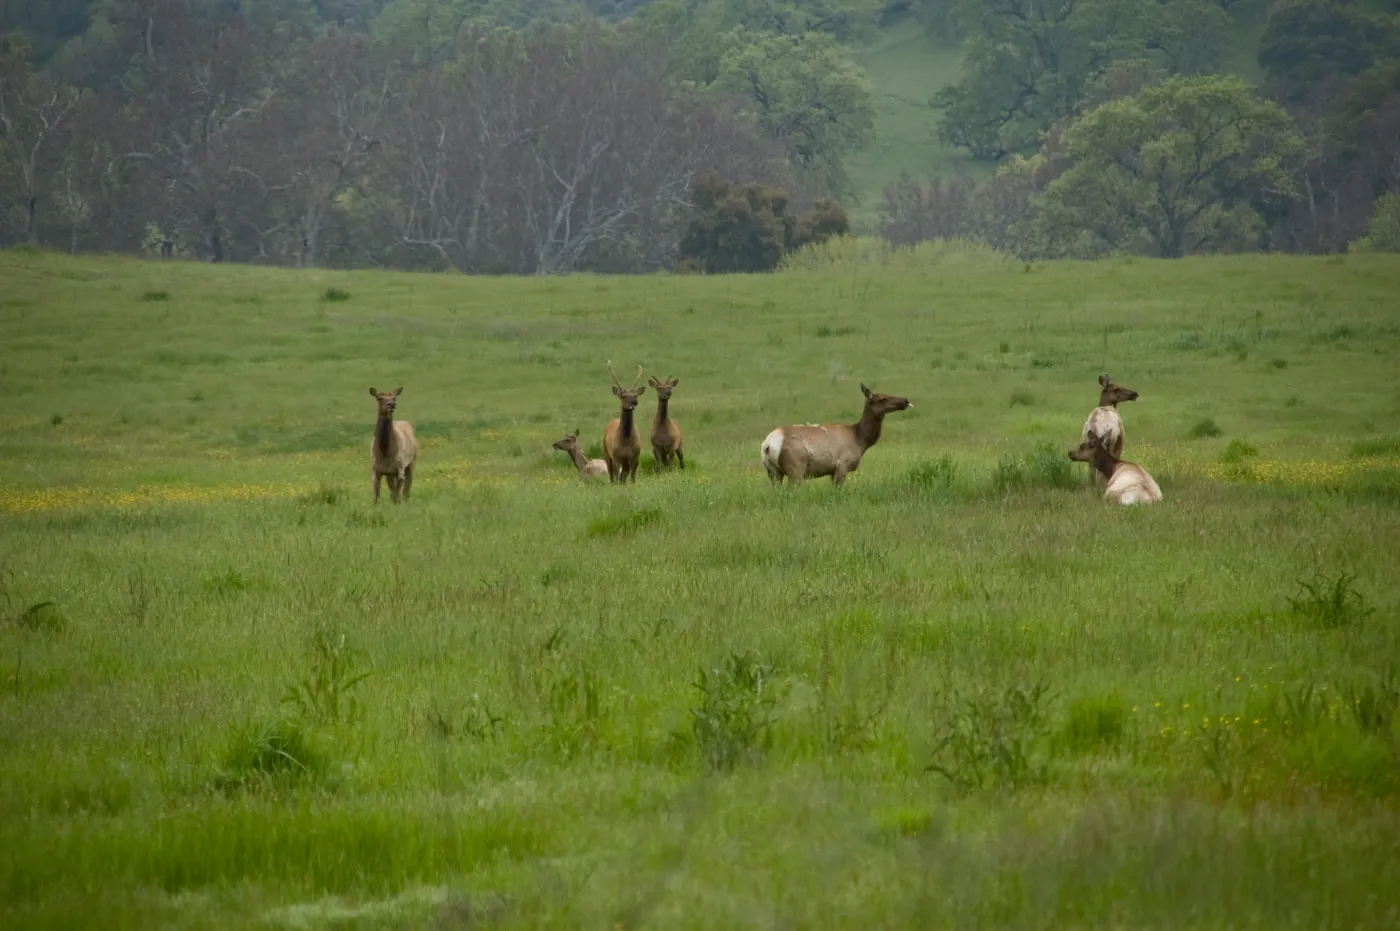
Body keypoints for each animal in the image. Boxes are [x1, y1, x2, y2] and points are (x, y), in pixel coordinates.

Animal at [761, 383, 912, 486]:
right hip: (796, 469)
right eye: (881, 399)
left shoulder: (832, 471)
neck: (860, 440)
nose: (905, 401)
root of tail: (767, 445)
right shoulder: (842, 466)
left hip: (773, 472)